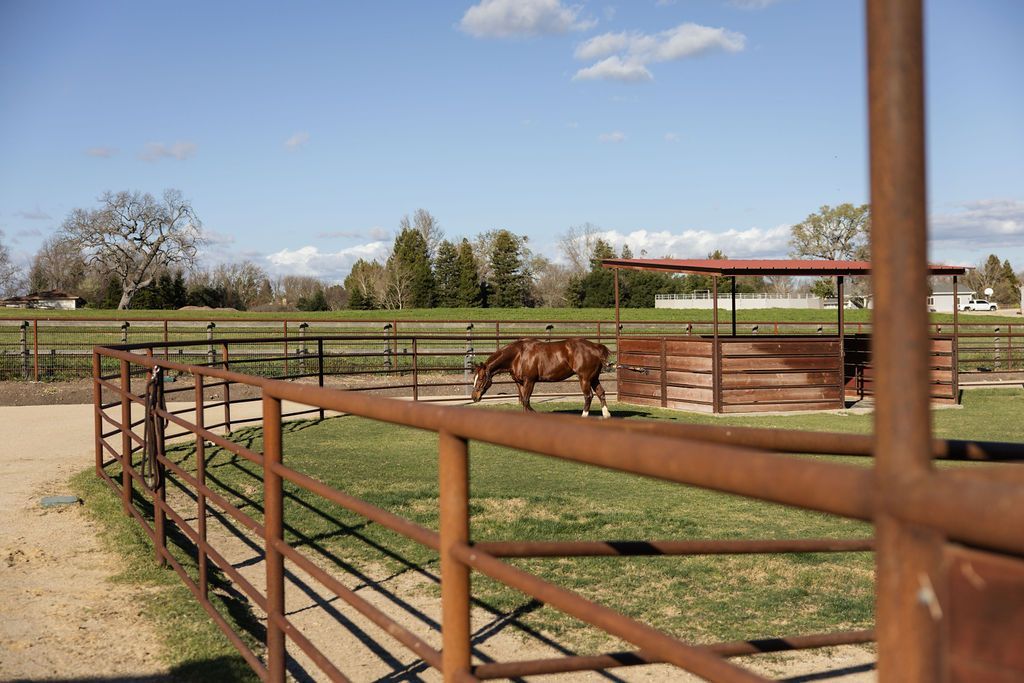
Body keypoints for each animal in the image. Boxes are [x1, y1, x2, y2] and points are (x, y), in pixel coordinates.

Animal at [470, 338, 612, 418]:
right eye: (474, 378)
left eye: (481, 378)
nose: (474, 397)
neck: (518, 355)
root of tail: (596, 347)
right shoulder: (520, 382)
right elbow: (524, 401)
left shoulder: (530, 381)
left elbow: (526, 401)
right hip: (593, 378)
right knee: (601, 393)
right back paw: (606, 415)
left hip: (584, 378)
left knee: (588, 396)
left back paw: (584, 416)